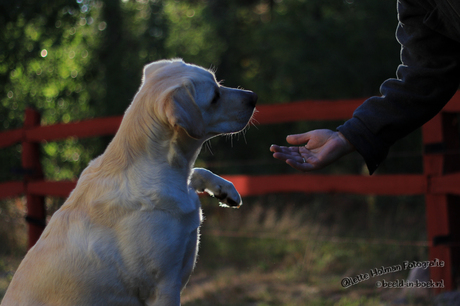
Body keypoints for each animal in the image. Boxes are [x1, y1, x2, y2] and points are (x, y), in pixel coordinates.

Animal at [1, 58, 256, 304]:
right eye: (214, 97)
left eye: (218, 83)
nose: (253, 97)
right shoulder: (164, 286)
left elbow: (196, 172)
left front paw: (226, 190)